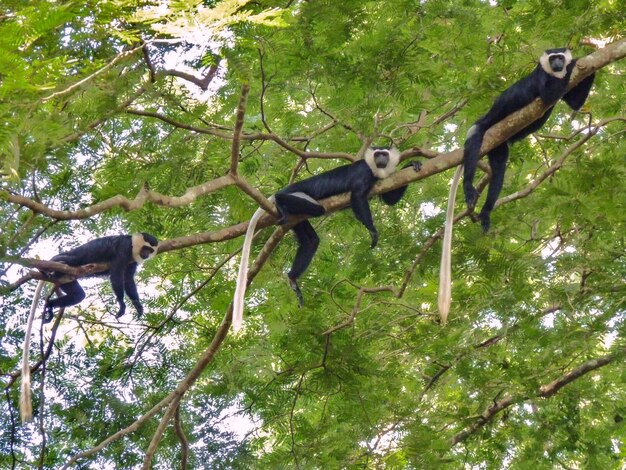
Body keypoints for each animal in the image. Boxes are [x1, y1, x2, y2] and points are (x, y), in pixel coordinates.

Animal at [21, 233, 158, 420]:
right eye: (145, 248)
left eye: (150, 250)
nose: (145, 255)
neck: (132, 244)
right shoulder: (124, 249)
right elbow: (117, 273)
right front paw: (122, 304)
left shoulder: (132, 262)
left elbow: (128, 279)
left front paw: (137, 304)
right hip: (67, 264)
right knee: (66, 260)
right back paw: (51, 267)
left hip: (67, 280)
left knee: (78, 295)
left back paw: (50, 304)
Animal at [230, 147, 420, 330]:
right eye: (378, 154)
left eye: (385, 154)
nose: (381, 159)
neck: (374, 169)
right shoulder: (363, 172)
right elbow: (357, 196)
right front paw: (372, 232)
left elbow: (389, 200)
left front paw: (412, 163)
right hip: (299, 196)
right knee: (315, 208)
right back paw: (280, 199)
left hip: (297, 219)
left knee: (311, 241)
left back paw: (293, 278)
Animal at [436, 48, 592, 324]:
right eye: (553, 58)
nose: (559, 62)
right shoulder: (542, 77)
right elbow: (548, 95)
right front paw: (576, 63)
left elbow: (574, 104)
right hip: (485, 128)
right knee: (474, 144)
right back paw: (469, 190)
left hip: (499, 144)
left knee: (499, 167)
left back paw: (486, 212)